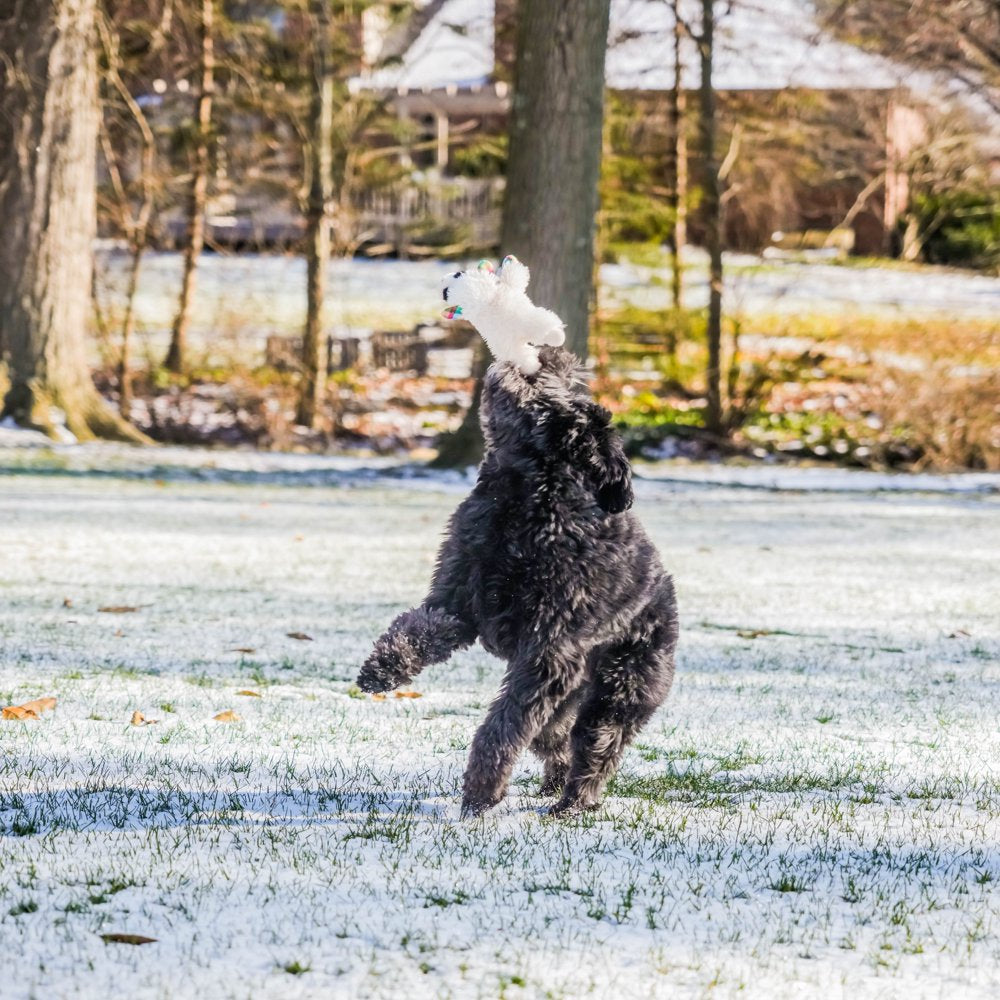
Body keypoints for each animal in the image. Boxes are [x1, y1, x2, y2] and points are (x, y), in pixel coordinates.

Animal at [356, 348, 676, 816]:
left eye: (552, 378)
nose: (549, 351)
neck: (523, 499)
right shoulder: (456, 602)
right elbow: (416, 628)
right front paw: (381, 670)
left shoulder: (546, 654)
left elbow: (502, 726)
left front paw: (482, 790)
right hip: (571, 693)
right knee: (554, 738)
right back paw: (554, 782)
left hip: (618, 687)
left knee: (597, 746)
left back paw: (574, 802)